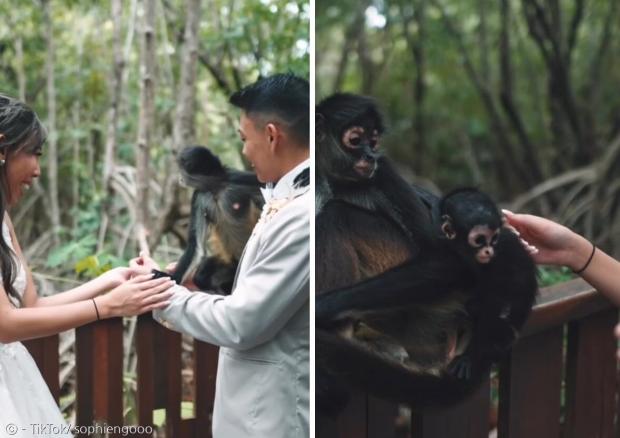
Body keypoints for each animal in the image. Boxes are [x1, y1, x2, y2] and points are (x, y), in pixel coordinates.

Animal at [172, 146, 264, 294]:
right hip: (229, 264)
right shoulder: (199, 195)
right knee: (202, 275)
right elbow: (196, 246)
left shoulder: (235, 178)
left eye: (182, 170)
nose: (179, 178)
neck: (216, 188)